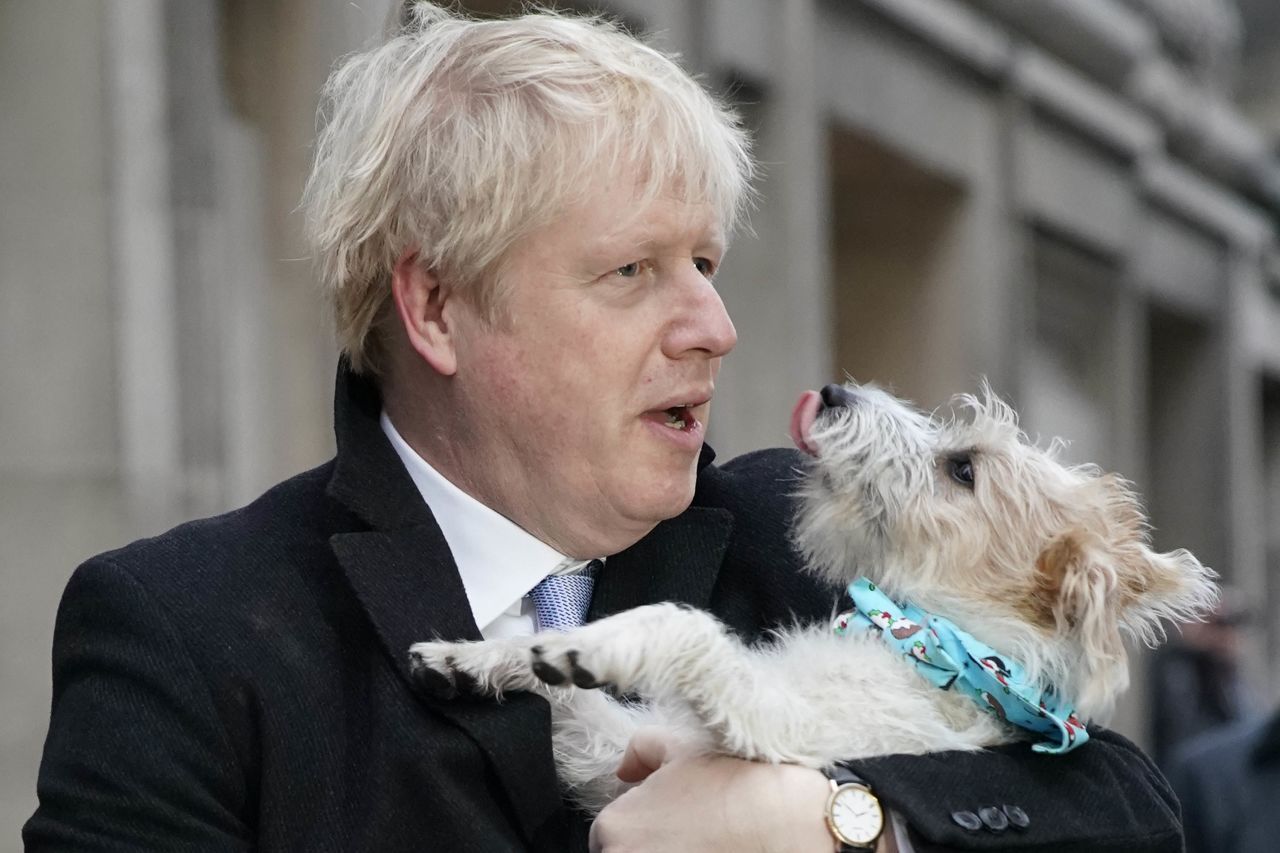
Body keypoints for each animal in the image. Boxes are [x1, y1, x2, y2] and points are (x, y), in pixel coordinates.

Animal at [409, 379, 1218, 809]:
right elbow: (574, 705)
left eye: (962, 469)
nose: (833, 392)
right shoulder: (624, 754)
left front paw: (588, 647)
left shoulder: (775, 733)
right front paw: (477, 656)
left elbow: (686, 629)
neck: (926, 643)